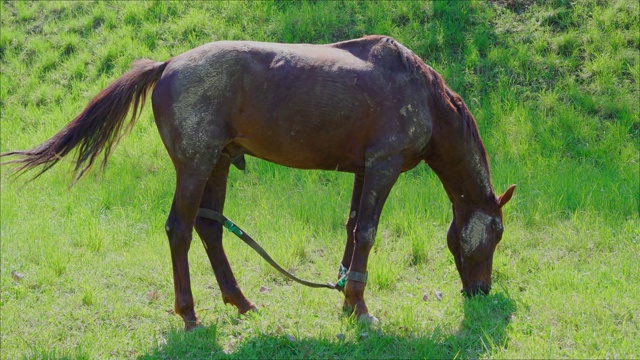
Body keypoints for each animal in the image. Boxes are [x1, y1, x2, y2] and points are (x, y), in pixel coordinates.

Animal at [1, 35, 516, 330]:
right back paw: (190, 315)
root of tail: (168, 64)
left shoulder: (362, 170)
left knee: (209, 230)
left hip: (218, 164)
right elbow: (368, 233)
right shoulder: (383, 167)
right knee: (180, 230)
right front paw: (360, 306)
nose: (481, 292)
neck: (422, 95)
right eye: (496, 234)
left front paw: (345, 297)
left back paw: (240, 302)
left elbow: (353, 229)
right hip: (196, 166)